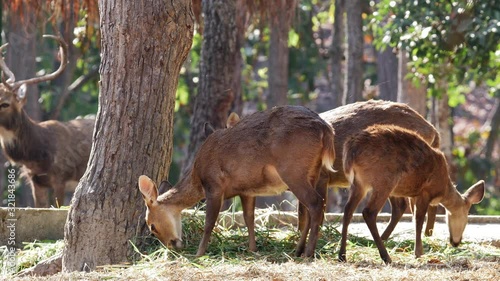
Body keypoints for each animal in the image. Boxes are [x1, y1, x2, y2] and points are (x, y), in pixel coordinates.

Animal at [139, 104, 336, 256]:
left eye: (152, 226)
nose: (172, 245)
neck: (198, 178)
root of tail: (326, 129)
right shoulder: (247, 190)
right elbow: (249, 218)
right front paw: (252, 248)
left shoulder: (214, 185)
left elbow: (210, 222)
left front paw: (199, 253)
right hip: (313, 172)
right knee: (310, 208)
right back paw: (298, 250)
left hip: (293, 170)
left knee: (316, 203)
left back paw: (308, 253)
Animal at [338, 123, 482, 264]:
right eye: (466, 217)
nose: (456, 242)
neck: (443, 189)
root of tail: (351, 152)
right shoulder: (425, 192)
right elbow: (419, 220)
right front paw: (418, 253)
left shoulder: (413, 195)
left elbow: (413, 218)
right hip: (384, 181)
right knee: (369, 212)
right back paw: (386, 257)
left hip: (359, 184)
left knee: (348, 210)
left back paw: (342, 255)